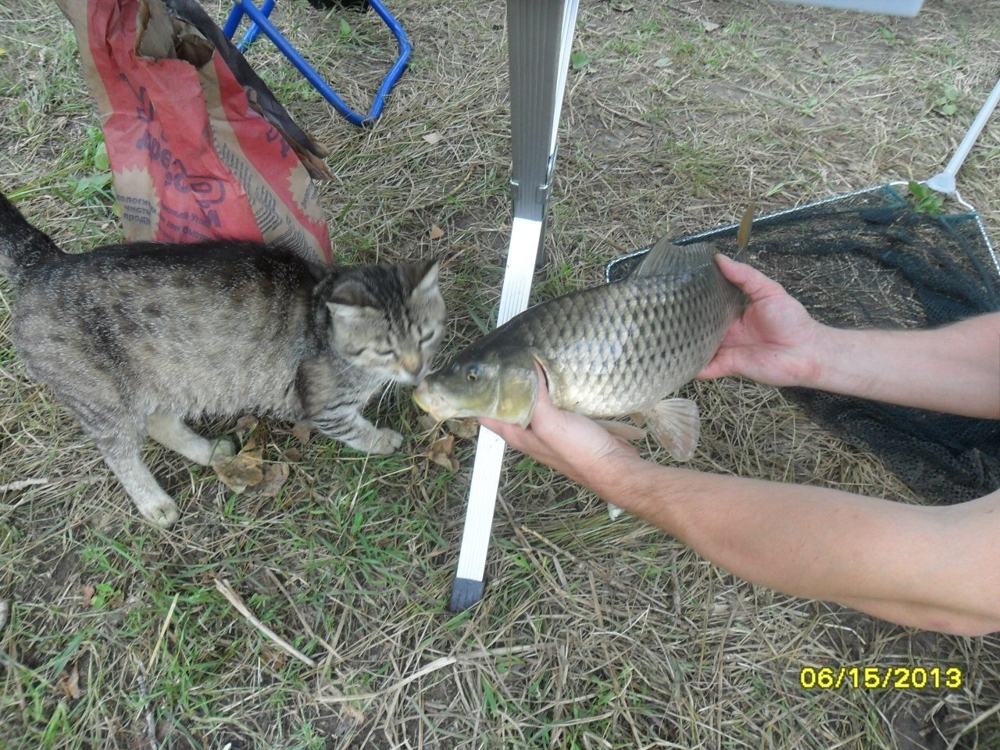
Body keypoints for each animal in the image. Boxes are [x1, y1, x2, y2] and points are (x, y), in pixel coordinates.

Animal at [0, 197, 446, 532]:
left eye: (425, 337)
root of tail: (46, 265)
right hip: (103, 401)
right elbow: (354, 429)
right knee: (119, 454)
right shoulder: (323, 405)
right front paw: (382, 440)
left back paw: (209, 451)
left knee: (161, 422)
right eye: (385, 351)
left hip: (171, 379)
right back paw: (154, 503)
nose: (415, 369)